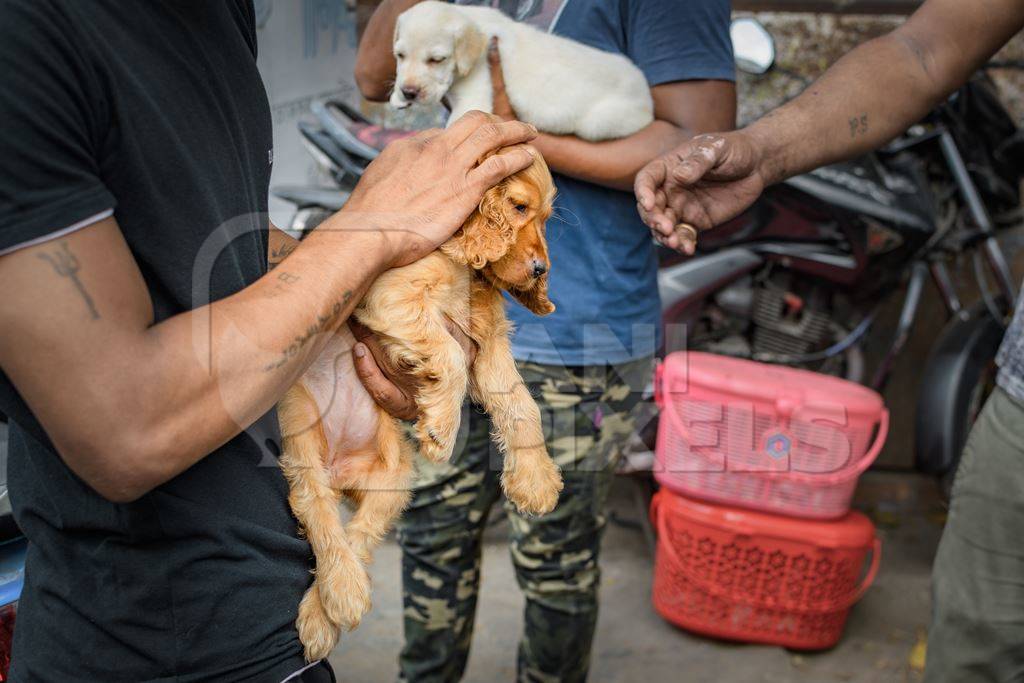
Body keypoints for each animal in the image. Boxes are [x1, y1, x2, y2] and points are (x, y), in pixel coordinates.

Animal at [387, 0, 651, 141]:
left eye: (437, 60)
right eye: (400, 55)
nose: (409, 92)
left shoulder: (473, 97)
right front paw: (397, 97)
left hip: (598, 124)